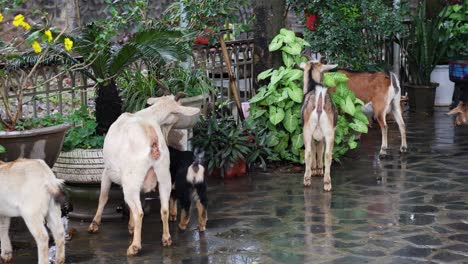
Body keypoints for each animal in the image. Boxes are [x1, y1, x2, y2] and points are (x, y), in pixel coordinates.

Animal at [88, 95, 199, 256]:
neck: (148, 115)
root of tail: (152, 136)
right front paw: (131, 226)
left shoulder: (107, 171)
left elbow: (103, 197)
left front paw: (94, 224)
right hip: (163, 176)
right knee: (163, 208)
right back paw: (166, 239)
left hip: (131, 179)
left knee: (139, 212)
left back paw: (135, 246)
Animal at [302, 60, 338, 191]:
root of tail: (319, 102)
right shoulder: (321, 135)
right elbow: (320, 149)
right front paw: (319, 170)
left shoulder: (313, 135)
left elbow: (315, 149)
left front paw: (315, 170)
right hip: (329, 132)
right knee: (328, 155)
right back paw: (327, 183)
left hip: (307, 131)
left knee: (307, 153)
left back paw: (307, 180)